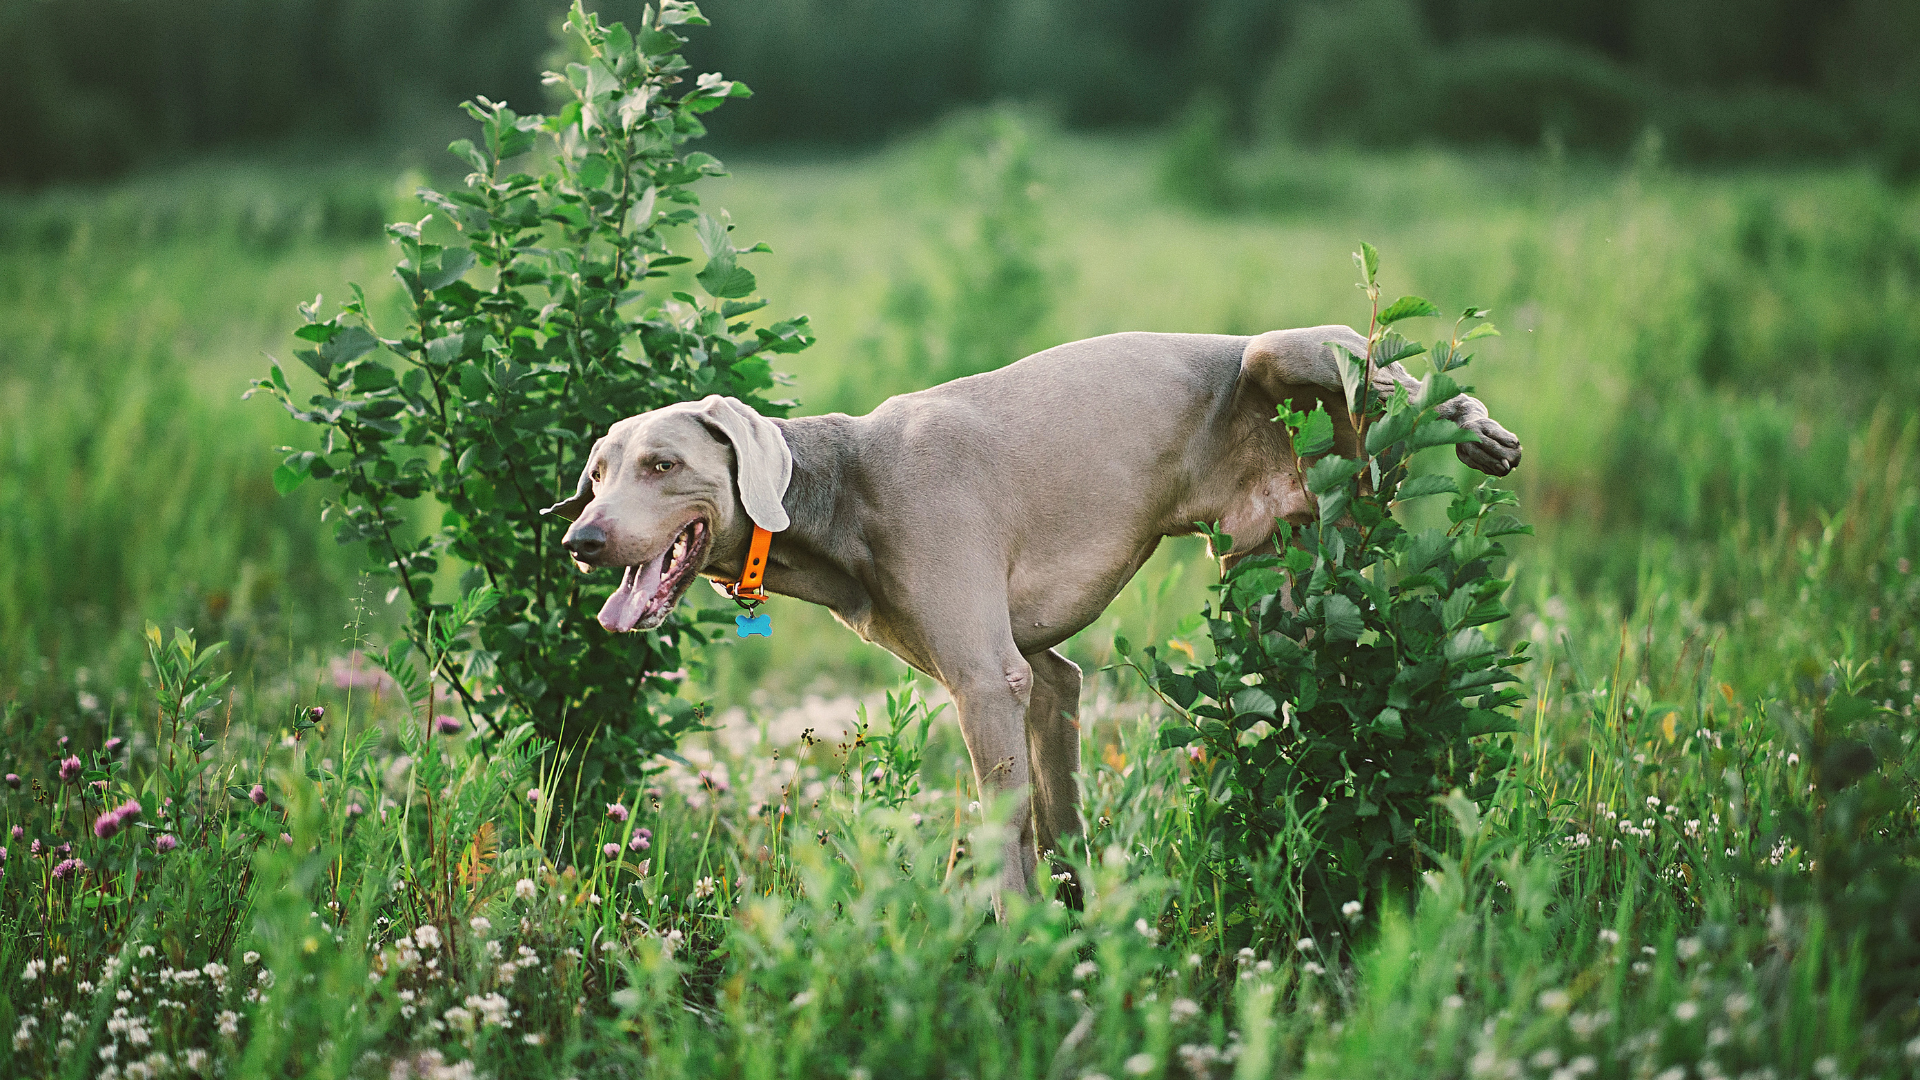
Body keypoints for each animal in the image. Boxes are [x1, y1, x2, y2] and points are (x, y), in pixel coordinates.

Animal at [549, 326, 1520, 899]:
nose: (581, 541)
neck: (841, 494)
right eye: (597, 473)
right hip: (1279, 578)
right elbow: (1054, 816)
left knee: (1402, 374)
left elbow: (999, 828)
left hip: (1289, 353)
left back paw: (1478, 423)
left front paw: (999, 947)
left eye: (664, 465)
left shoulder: (987, 680)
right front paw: (1071, 924)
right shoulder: (1042, 676)